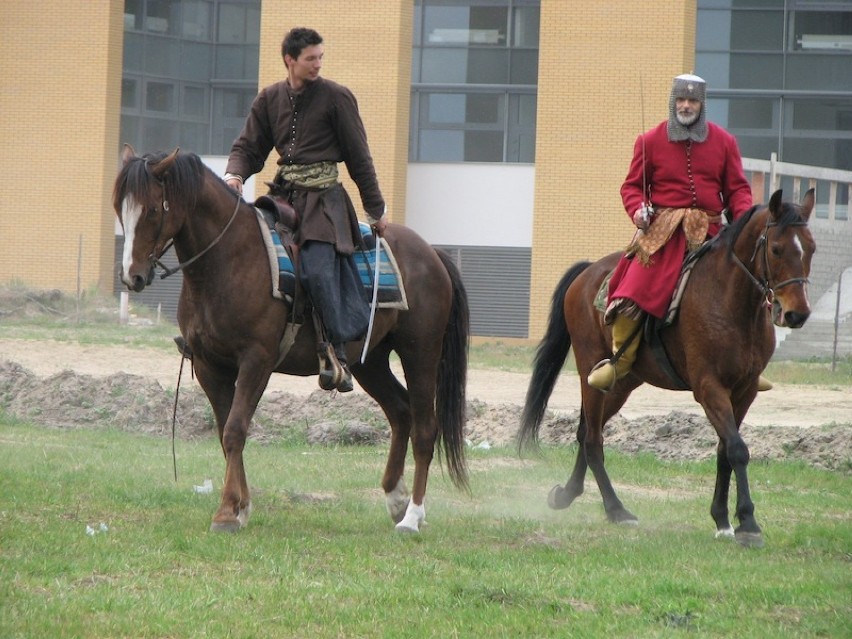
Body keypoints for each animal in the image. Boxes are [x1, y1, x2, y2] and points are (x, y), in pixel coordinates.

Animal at [113, 146, 470, 536]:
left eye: (151, 209)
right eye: (119, 208)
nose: (132, 277)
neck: (230, 259)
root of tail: (432, 254)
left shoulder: (256, 360)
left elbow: (235, 429)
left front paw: (226, 512)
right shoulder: (210, 366)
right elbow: (225, 432)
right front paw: (240, 506)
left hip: (420, 352)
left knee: (424, 428)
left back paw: (412, 516)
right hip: (371, 361)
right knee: (401, 412)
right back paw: (396, 498)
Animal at [516, 190, 816, 552]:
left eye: (811, 248)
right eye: (776, 249)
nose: (797, 313)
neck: (733, 305)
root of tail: (587, 273)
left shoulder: (743, 392)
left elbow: (725, 450)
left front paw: (722, 519)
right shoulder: (709, 388)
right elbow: (737, 450)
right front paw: (747, 522)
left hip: (623, 383)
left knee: (586, 430)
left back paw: (568, 494)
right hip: (592, 372)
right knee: (591, 438)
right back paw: (616, 509)